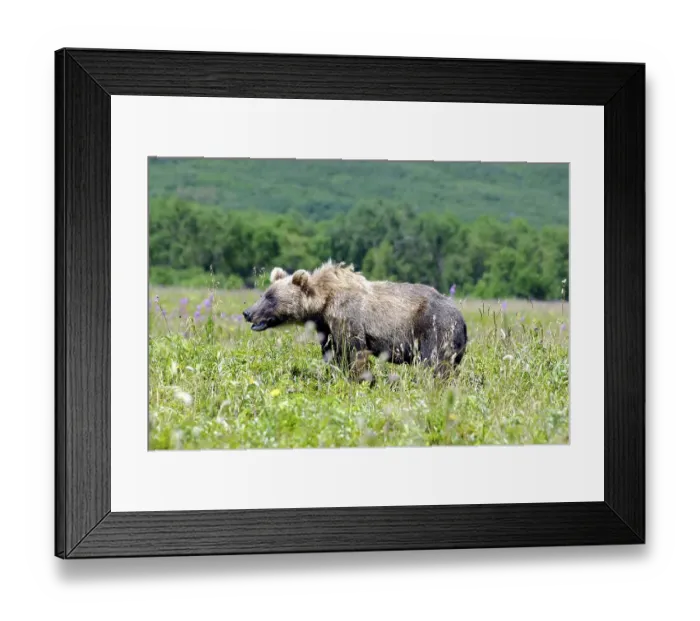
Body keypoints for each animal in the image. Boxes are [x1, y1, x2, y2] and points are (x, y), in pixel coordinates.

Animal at [242, 261, 468, 377]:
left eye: (271, 298)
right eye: (264, 294)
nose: (247, 312)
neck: (323, 303)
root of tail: (463, 320)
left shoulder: (347, 318)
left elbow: (354, 351)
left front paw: (358, 379)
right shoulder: (326, 327)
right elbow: (333, 352)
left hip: (435, 328)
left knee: (435, 363)